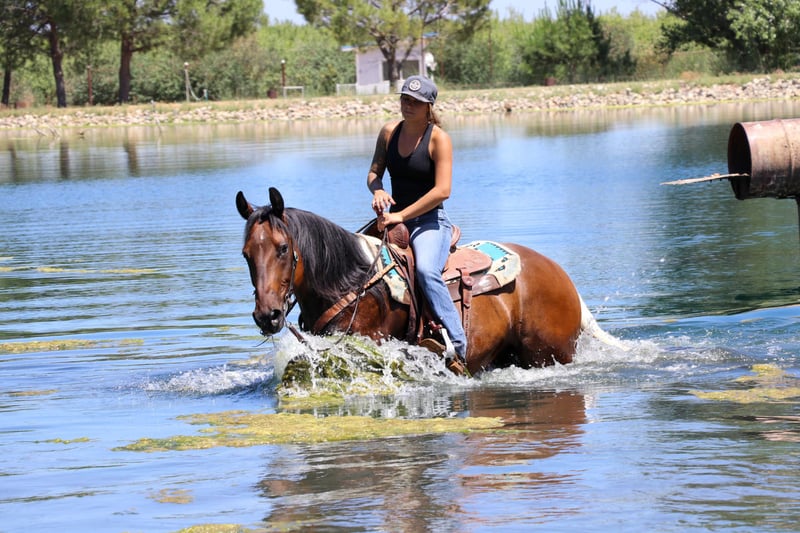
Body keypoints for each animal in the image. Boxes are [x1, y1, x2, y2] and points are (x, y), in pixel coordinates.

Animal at [236, 187, 623, 375]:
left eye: (283, 248)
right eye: (246, 254)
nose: (267, 315)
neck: (351, 281)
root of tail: (560, 274)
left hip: (549, 355)